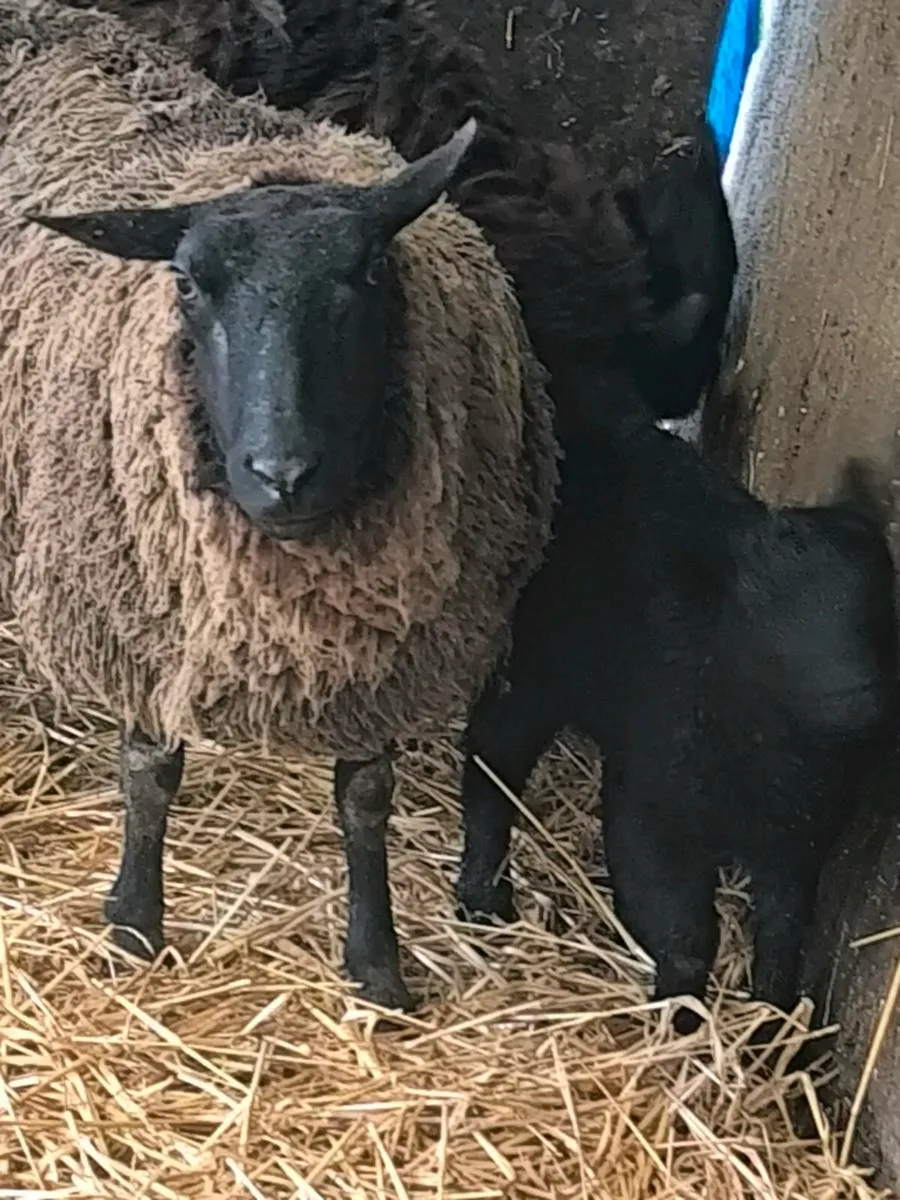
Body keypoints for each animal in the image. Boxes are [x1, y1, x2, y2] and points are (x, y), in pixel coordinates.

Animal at [0, 1, 559, 1012]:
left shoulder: (392, 651)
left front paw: (376, 962)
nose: (282, 473)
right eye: (187, 284)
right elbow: (151, 774)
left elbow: (365, 800)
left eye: (370, 273)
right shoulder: (144, 617)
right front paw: (135, 925)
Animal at [455, 377, 900, 1035]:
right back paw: (483, 893)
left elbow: (783, 933)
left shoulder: (796, 841)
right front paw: (681, 1019)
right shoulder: (652, 810)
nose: (857, 688)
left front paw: (770, 1022)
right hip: (530, 670)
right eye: (769, 600)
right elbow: (683, 932)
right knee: (491, 764)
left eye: (884, 604)